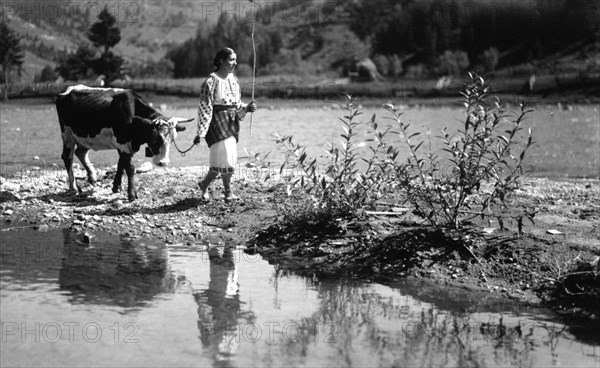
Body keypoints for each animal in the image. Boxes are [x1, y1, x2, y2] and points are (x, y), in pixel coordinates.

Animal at [55, 85, 192, 201]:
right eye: (154, 139)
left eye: (172, 140)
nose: (163, 162)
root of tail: (66, 91)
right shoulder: (123, 143)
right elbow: (129, 168)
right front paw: (131, 193)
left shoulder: (127, 145)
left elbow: (121, 164)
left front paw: (116, 186)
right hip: (67, 134)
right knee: (67, 157)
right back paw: (73, 187)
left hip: (84, 137)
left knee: (80, 152)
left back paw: (92, 176)